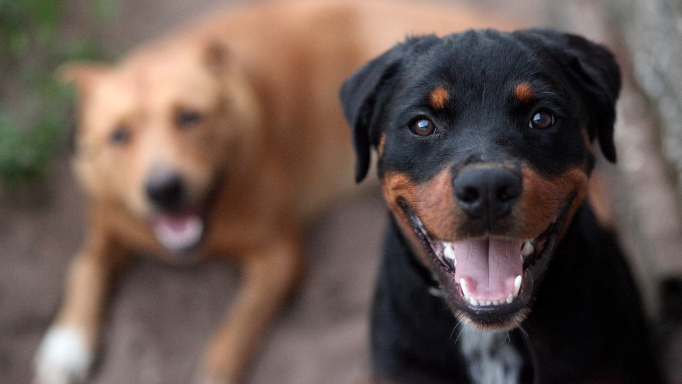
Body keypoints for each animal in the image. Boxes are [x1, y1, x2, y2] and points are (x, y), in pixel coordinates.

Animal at [31, 0, 510, 384]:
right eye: (118, 136)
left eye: (190, 117)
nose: (164, 189)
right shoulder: (105, 221)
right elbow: (83, 268)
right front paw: (64, 346)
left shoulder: (279, 255)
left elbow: (234, 327)